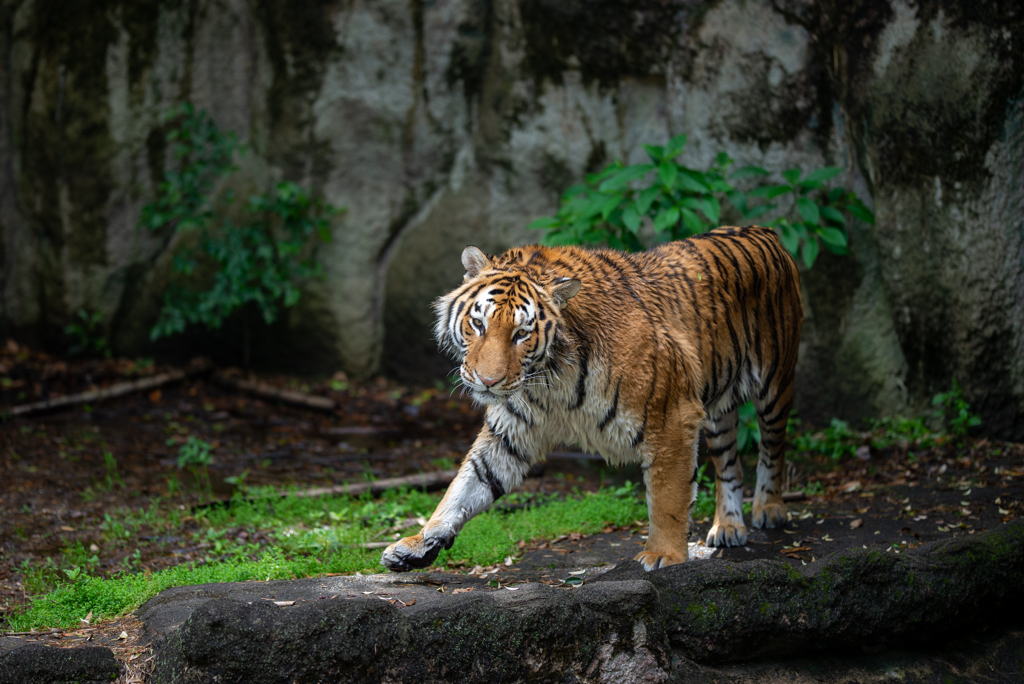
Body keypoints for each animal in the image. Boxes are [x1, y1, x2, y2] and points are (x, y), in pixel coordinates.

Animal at [380, 224, 802, 573]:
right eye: (478, 323)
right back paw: (728, 526)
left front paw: (664, 554)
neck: (551, 382)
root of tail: (766, 231)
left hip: (774, 383)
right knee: (730, 463)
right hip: (716, 410)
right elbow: (464, 486)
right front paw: (417, 544)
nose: (488, 380)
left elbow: (667, 496)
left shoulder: (673, 416)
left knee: (773, 448)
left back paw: (769, 509)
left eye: (521, 334)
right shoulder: (511, 431)